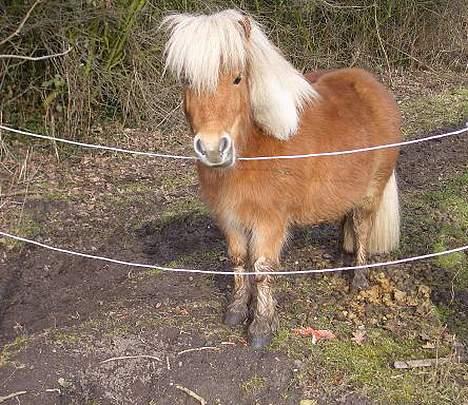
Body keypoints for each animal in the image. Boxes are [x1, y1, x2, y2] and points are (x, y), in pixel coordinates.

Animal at [163, 10, 400, 348]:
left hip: (371, 193)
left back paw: (358, 279)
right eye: (186, 80)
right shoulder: (230, 218)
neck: (256, 145)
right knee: (347, 223)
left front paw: (261, 327)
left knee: (362, 229)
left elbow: (261, 269)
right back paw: (342, 262)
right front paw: (236, 311)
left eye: (237, 78)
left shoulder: (269, 222)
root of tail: (373, 86)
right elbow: (238, 260)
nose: (212, 148)